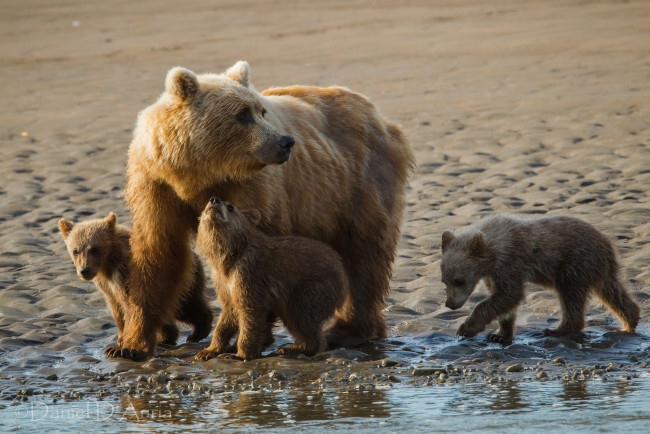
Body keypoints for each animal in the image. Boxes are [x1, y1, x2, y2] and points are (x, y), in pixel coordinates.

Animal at [115, 61, 410, 360]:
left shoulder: (250, 188)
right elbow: (158, 254)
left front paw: (247, 340)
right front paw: (130, 345)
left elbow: (260, 255)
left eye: (261, 110)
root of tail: (378, 115)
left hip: (359, 182)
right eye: (243, 113)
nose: (286, 142)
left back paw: (348, 330)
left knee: (364, 254)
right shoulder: (156, 186)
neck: (196, 175)